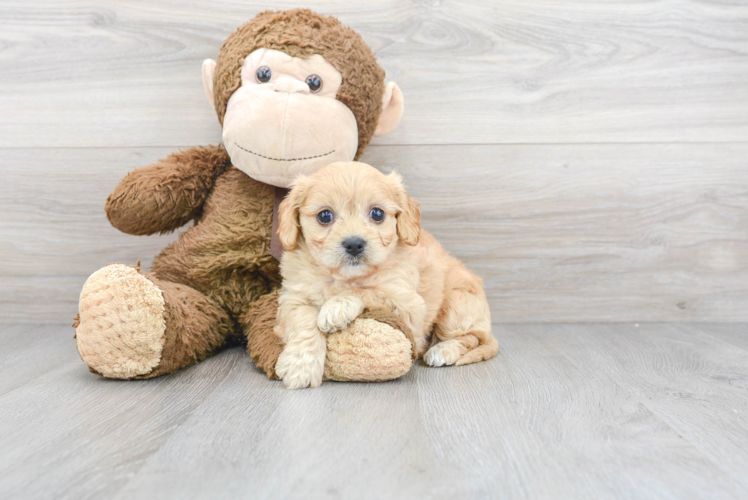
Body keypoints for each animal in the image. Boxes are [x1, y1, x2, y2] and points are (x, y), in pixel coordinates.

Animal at [274, 162, 496, 388]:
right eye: (324, 216)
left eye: (377, 214)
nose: (354, 244)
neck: (345, 277)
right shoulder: (294, 297)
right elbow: (304, 320)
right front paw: (301, 365)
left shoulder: (408, 305)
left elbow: (369, 291)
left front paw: (337, 306)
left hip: (455, 306)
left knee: (472, 338)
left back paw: (442, 351)